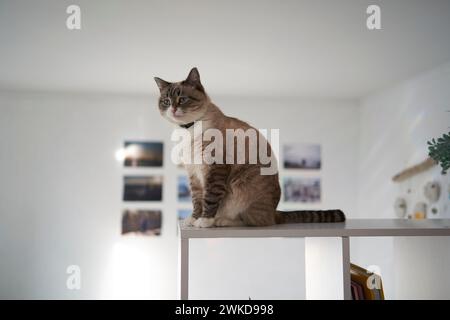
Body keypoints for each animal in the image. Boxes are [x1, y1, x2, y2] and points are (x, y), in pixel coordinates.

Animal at [154, 67, 344, 228]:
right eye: (166, 101)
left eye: (182, 99)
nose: (173, 109)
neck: (189, 129)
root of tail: (275, 212)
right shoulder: (193, 172)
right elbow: (196, 200)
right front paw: (193, 220)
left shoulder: (214, 168)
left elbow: (210, 198)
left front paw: (204, 221)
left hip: (240, 191)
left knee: (253, 221)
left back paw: (220, 221)